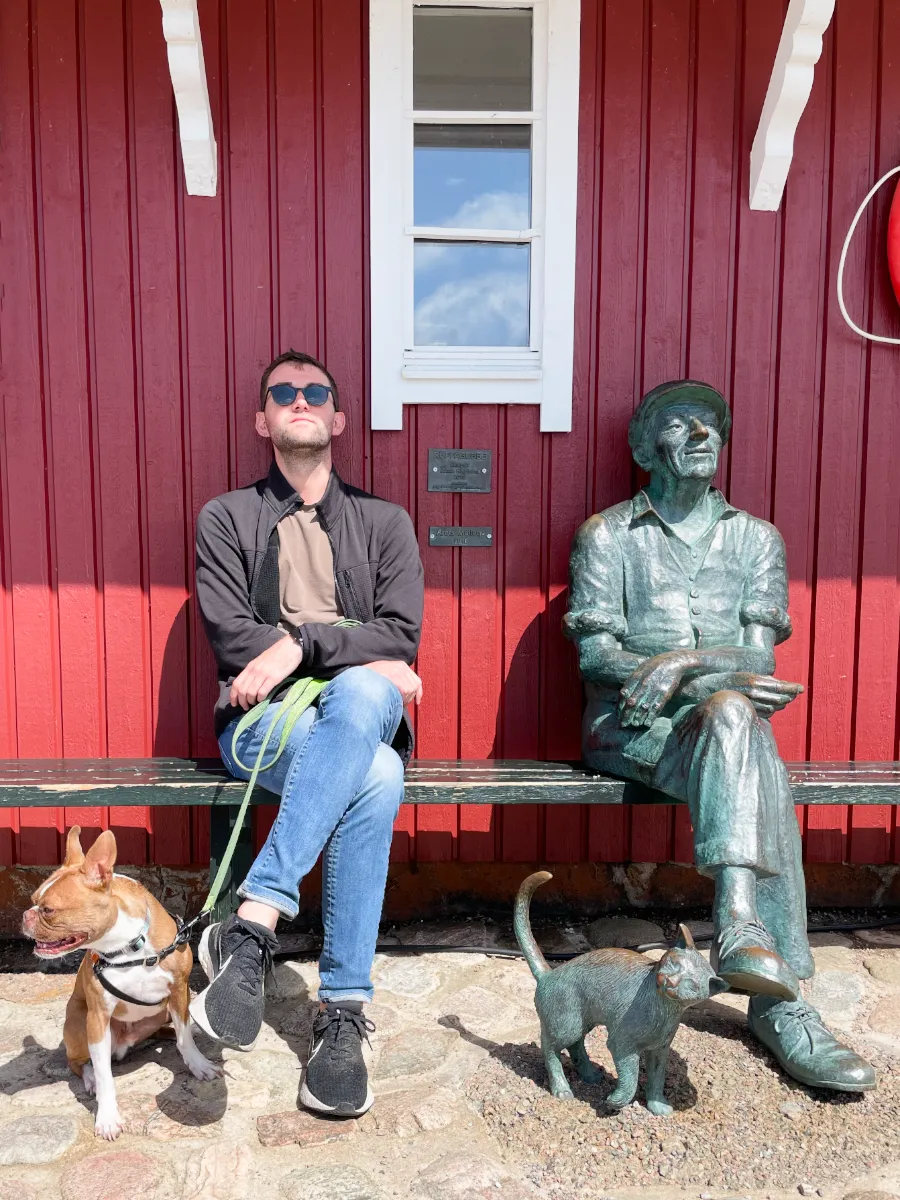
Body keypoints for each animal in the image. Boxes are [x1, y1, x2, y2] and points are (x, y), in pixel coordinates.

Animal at [21, 830, 220, 1137]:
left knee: (169, 1030)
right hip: (79, 1022)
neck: (127, 947)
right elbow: (105, 1076)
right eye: (32, 900)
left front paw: (198, 1064)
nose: (25, 916)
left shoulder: (179, 990)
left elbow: (184, 1037)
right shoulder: (98, 1017)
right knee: (79, 1063)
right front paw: (107, 1117)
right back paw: (90, 1078)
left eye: (48, 909)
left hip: (162, 1010)